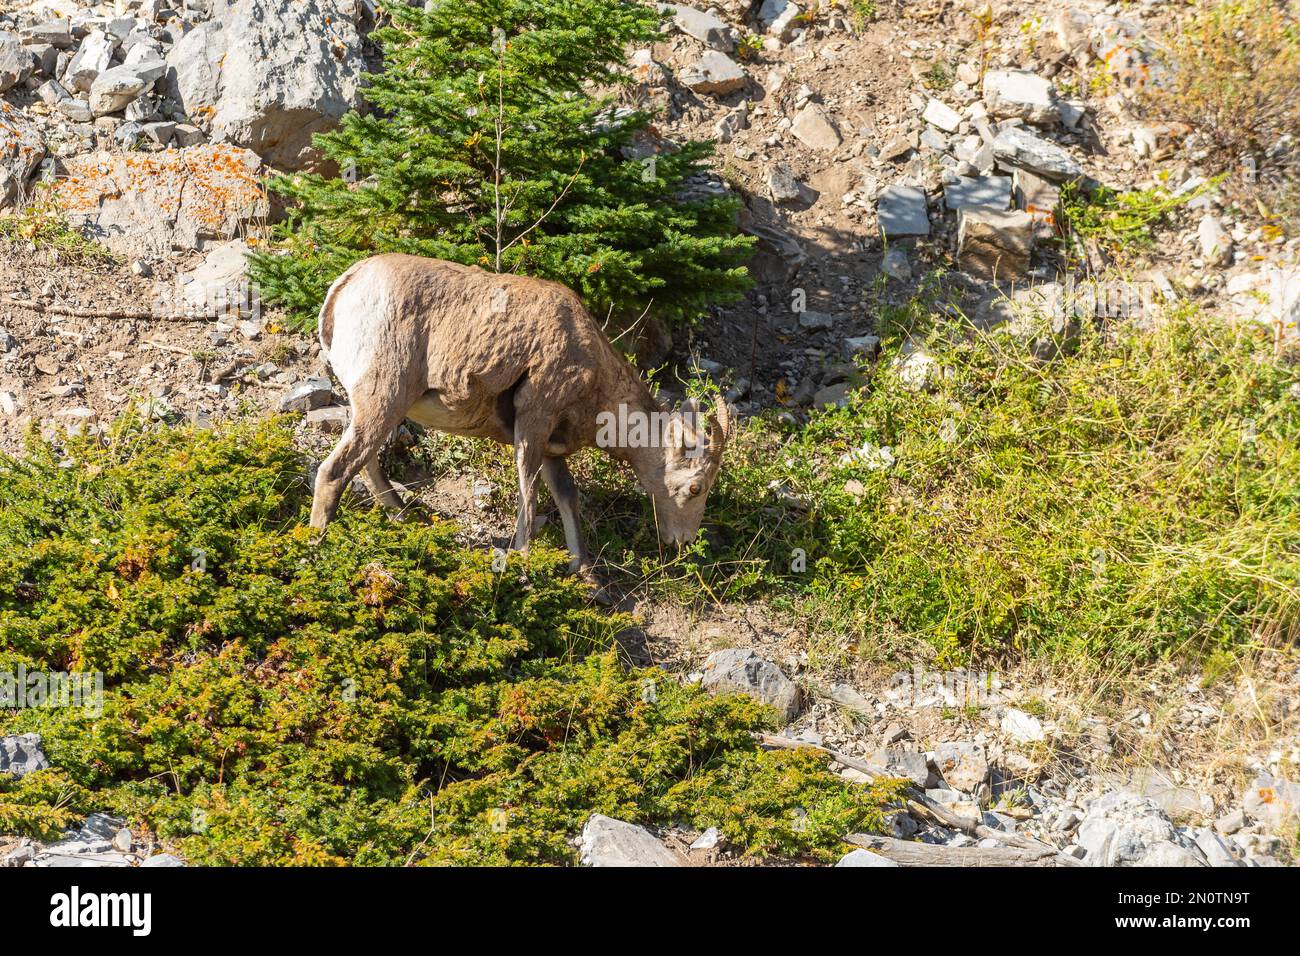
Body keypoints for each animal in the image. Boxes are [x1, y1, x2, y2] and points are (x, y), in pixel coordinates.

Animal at [305, 251, 733, 572]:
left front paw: (584, 573)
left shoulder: (552, 447)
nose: (682, 542)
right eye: (695, 487)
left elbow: (566, 497)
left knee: (365, 463)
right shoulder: (533, 421)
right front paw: (523, 561)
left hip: (377, 408)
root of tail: (345, 287)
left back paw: (405, 517)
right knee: (335, 471)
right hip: (383, 397)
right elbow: (529, 492)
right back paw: (315, 546)